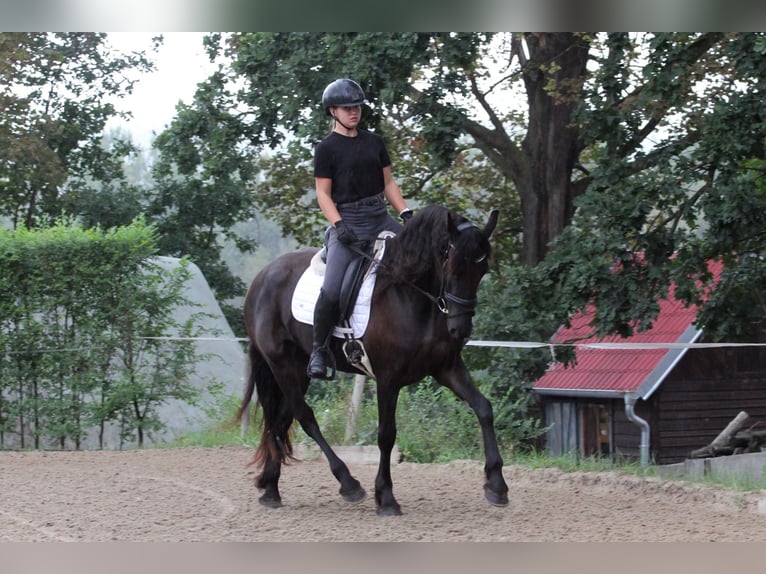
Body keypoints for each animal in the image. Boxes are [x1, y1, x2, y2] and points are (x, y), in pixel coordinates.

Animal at [237, 204, 508, 516]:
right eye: (451, 264)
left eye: (482, 270)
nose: (460, 330)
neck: (410, 294)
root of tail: (261, 277)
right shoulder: (388, 379)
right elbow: (386, 434)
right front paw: (386, 497)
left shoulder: (446, 368)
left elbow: (484, 409)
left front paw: (497, 485)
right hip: (281, 364)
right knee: (304, 416)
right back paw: (348, 483)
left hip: (297, 368)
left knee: (281, 420)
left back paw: (271, 489)